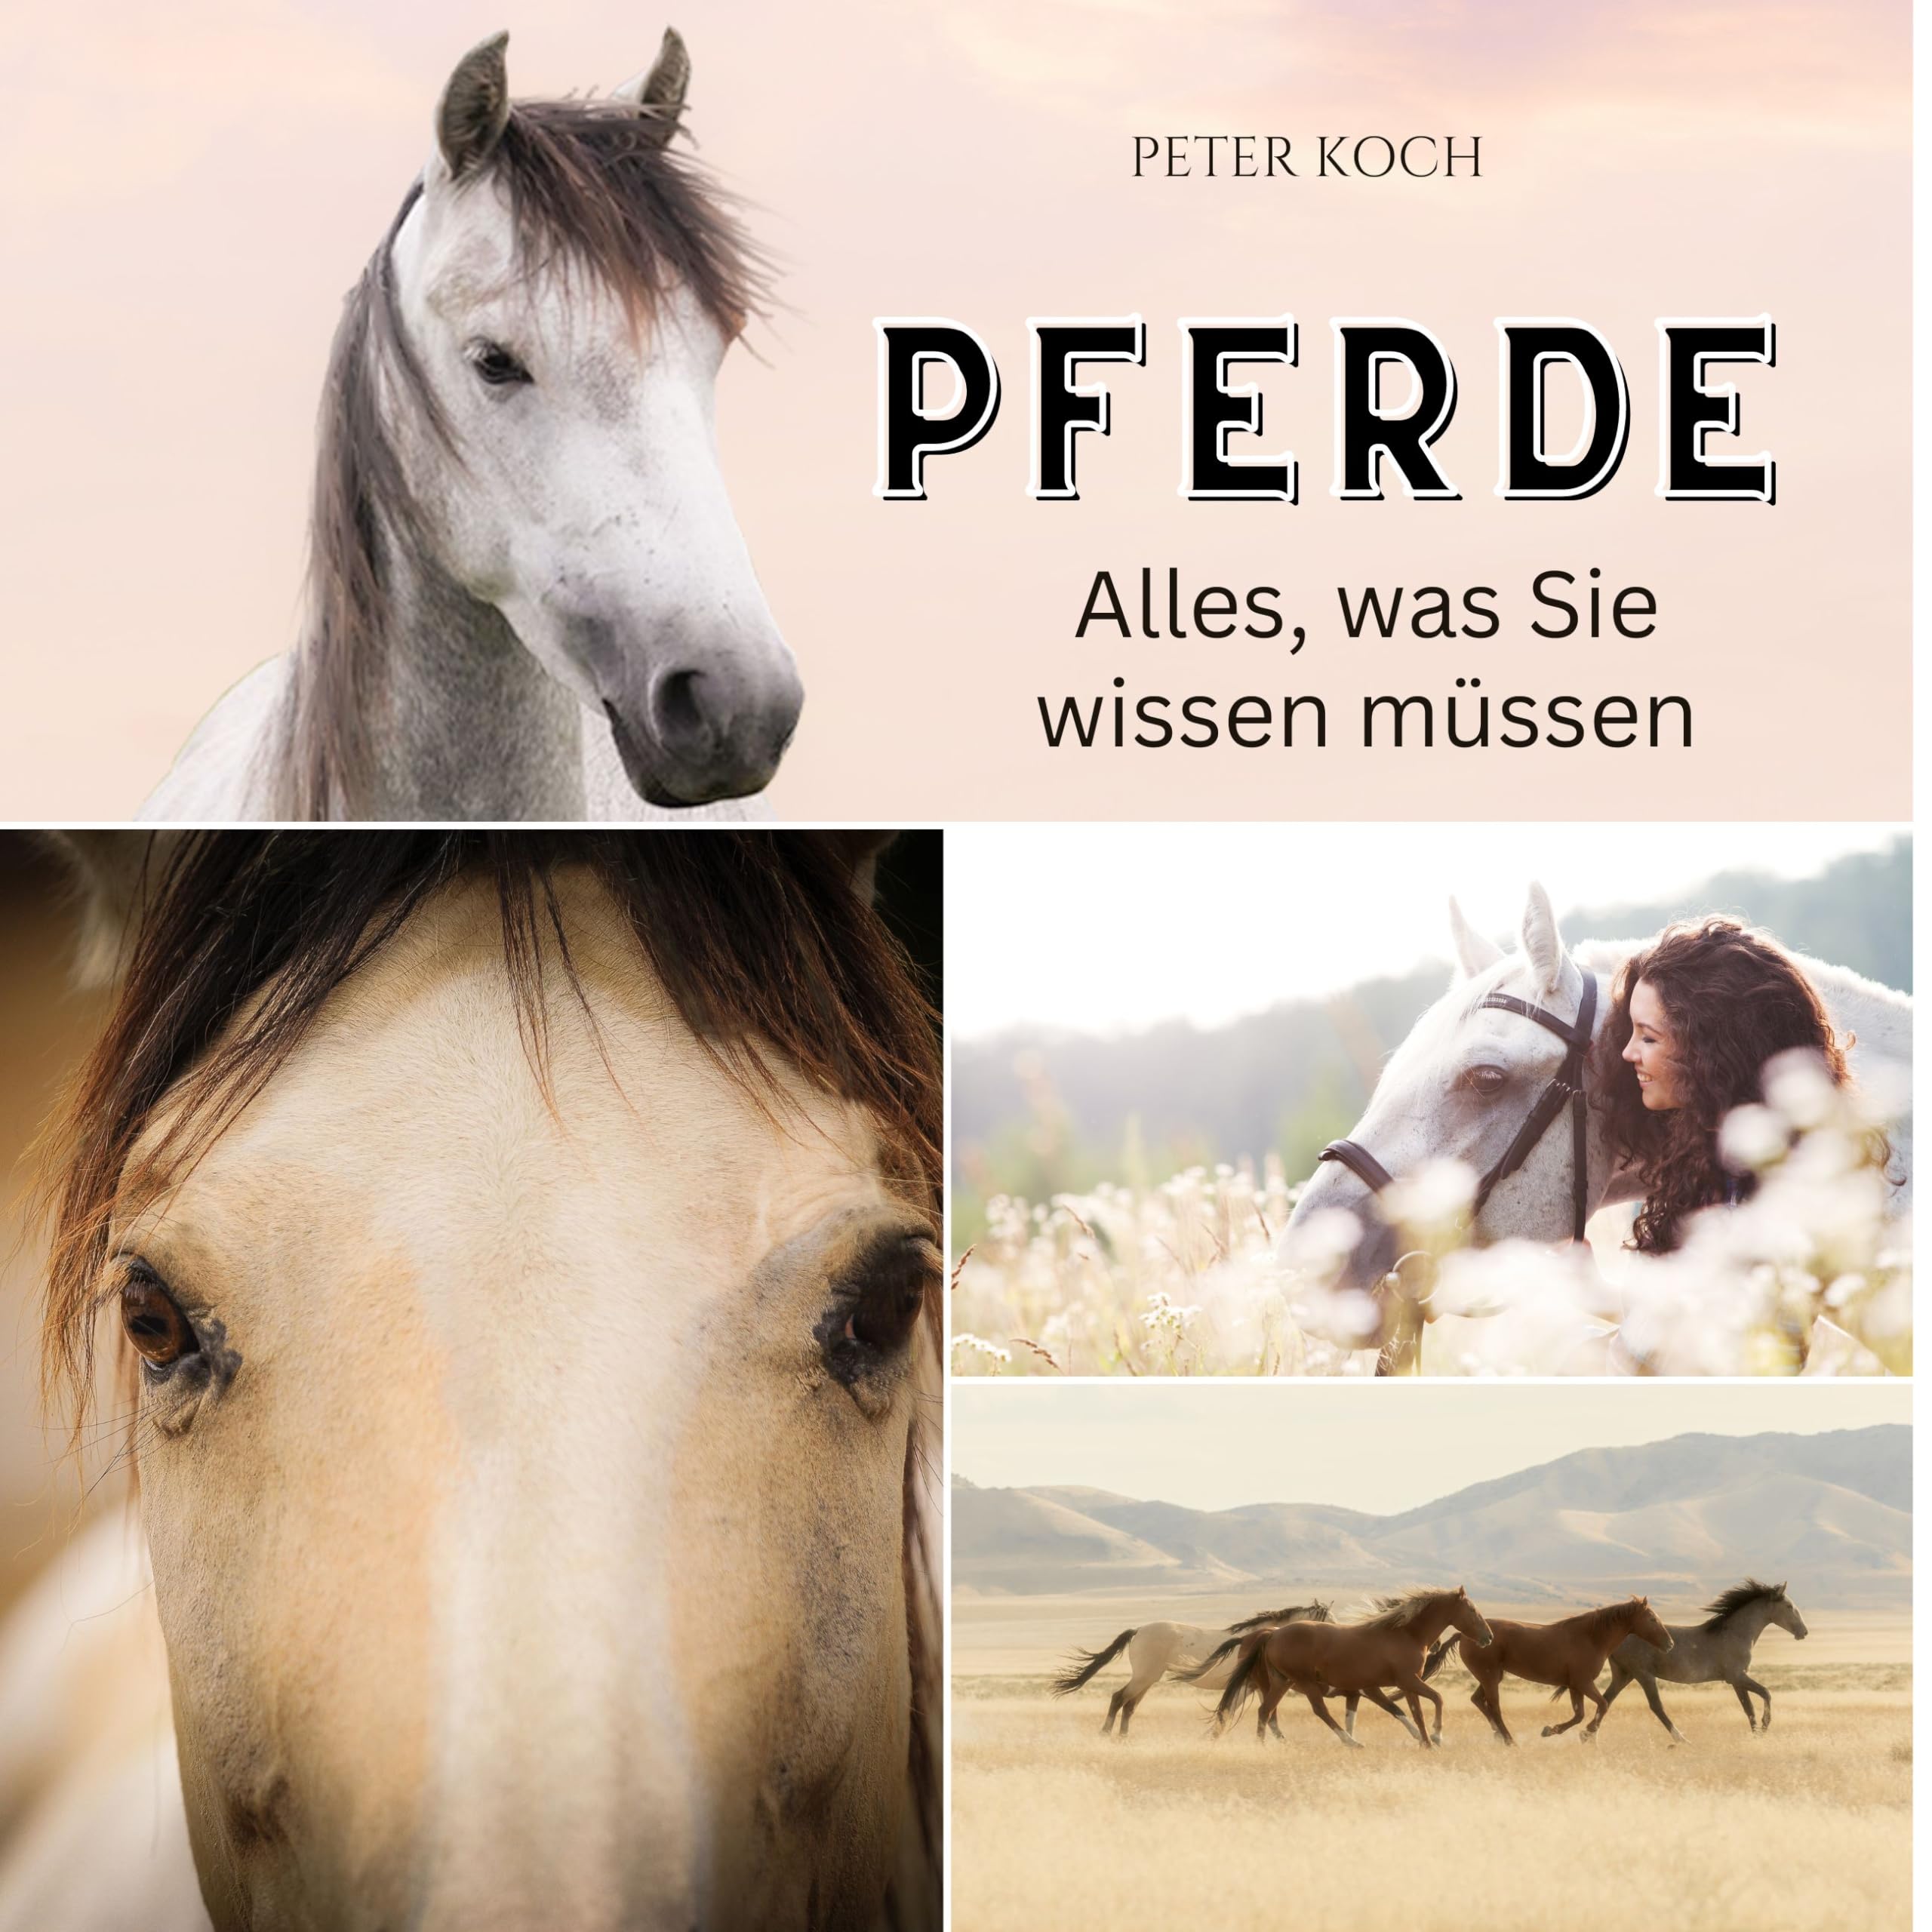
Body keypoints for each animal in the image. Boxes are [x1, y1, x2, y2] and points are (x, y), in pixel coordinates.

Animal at [1050, 1601, 1331, 1737]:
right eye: (1328, 1620)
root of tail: (1138, 1630)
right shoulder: (1249, 1686)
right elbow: (1232, 1712)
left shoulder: (1256, 1687)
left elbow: (1264, 1716)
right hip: (1144, 1677)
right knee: (1119, 1698)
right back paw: (1106, 1734)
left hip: (1148, 1680)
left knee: (1129, 1705)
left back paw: (1123, 1738)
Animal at [1191, 1587, 1495, 1750]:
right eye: (1473, 1611)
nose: (1488, 1637)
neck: (1404, 1634)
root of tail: (1271, 1634)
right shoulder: (1405, 1682)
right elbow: (1436, 1700)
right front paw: (1436, 1736)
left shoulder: (1391, 1686)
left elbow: (1410, 1712)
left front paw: (1425, 1742)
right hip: (1303, 1683)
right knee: (1318, 1711)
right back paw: (1350, 1743)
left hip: (1280, 1682)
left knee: (1265, 1711)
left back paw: (1263, 1745)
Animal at [1424, 1596, 1673, 1745]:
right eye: (1652, 1619)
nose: (1670, 1644)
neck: (1591, 1638)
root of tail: (1465, 1635)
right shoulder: (1583, 1683)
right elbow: (1602, 1705)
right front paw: (1586, 1733)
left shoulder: (1575, 1685)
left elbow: (1579, 1714)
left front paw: (1551, 1730)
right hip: (1490, 1676)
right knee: (1493, 1706)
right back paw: (1509, 1740)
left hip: (1491, 1676)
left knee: (1478, 1700)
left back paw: (1498, 1735)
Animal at [1590, 1579, 1808, 1743]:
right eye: (1789, 1607)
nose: (1804, 1632)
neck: (1736, 1634)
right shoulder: (1737, 1676)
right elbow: (1766, 1693)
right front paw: (1764, 1727)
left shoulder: (1737, 1681)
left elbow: (1749, 1709)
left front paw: (1756, 1735)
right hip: (1643, 1675)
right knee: (1656, 1706)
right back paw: (1681, 1740)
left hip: (1624, 1675)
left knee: (1606, 1701)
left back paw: (1589, 1737)